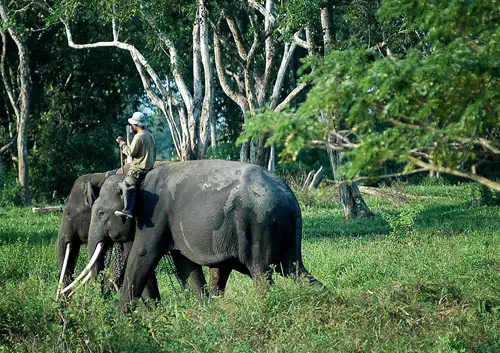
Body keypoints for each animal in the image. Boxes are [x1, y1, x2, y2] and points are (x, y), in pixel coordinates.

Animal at [65, 158, 324, 310]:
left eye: (100, 213)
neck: (133, 177)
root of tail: (290, 198)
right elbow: (185, 265)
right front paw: (203, 311)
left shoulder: (154, 215)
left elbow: (142, 257)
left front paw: (122, 321)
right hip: (283, 233)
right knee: (295, 270)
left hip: (260, 226)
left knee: (262, 275)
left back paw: (266, 310)